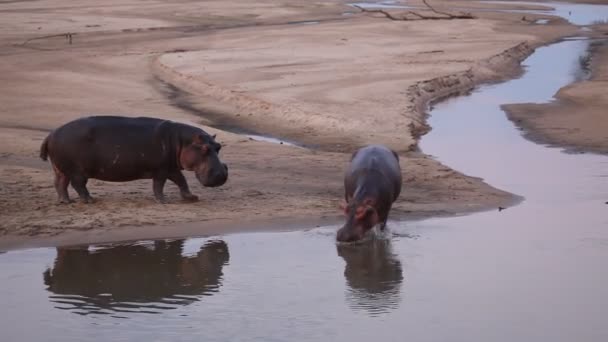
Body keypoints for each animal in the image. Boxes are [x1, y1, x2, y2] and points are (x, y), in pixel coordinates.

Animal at [39, 116, 228, 204]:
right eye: (204, 149)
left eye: (218, 146)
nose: (221, 175)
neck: (182, 142)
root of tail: (51, 134)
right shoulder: (160, 170)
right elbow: (159, 186)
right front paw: (163, 201)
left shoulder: (171, 167)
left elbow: (182, 181)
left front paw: (192, 197)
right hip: (78, 171)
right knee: (78, 185)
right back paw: (90, 200)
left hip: (61, 169)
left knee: (60, 184)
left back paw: (65, 201)